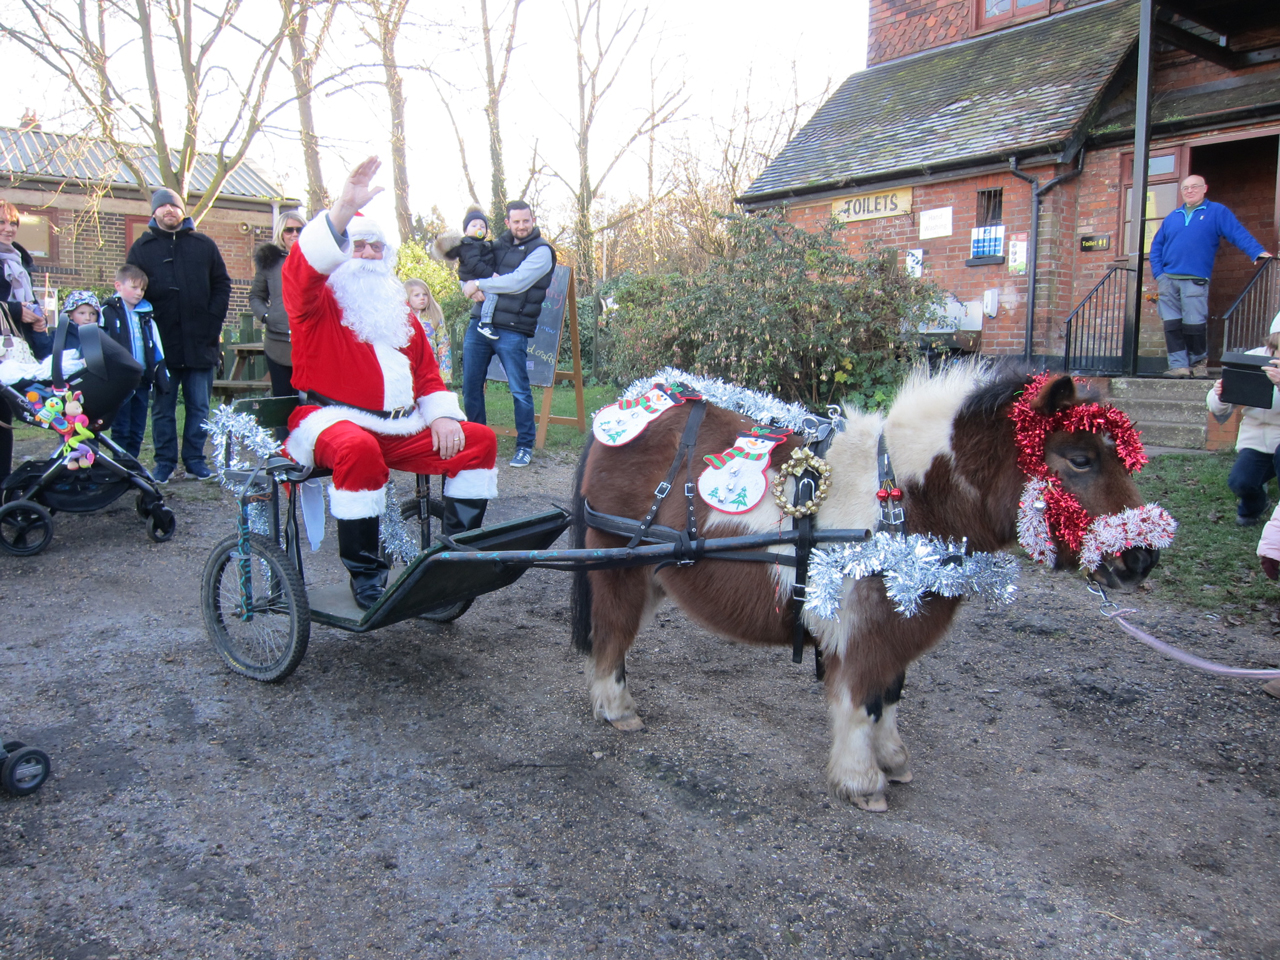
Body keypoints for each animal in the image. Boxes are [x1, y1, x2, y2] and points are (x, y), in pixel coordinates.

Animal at [570, 363, 1162, 814]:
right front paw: (861, 780)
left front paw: (892, 759)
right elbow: (859, 701)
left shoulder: (899, 620)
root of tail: (621, 411)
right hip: (620, 568)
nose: (1142, 558)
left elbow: (889, 695)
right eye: (1080, 459)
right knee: (612, 637)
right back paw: (616, 708)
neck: (901, 500)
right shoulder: (866, 633)